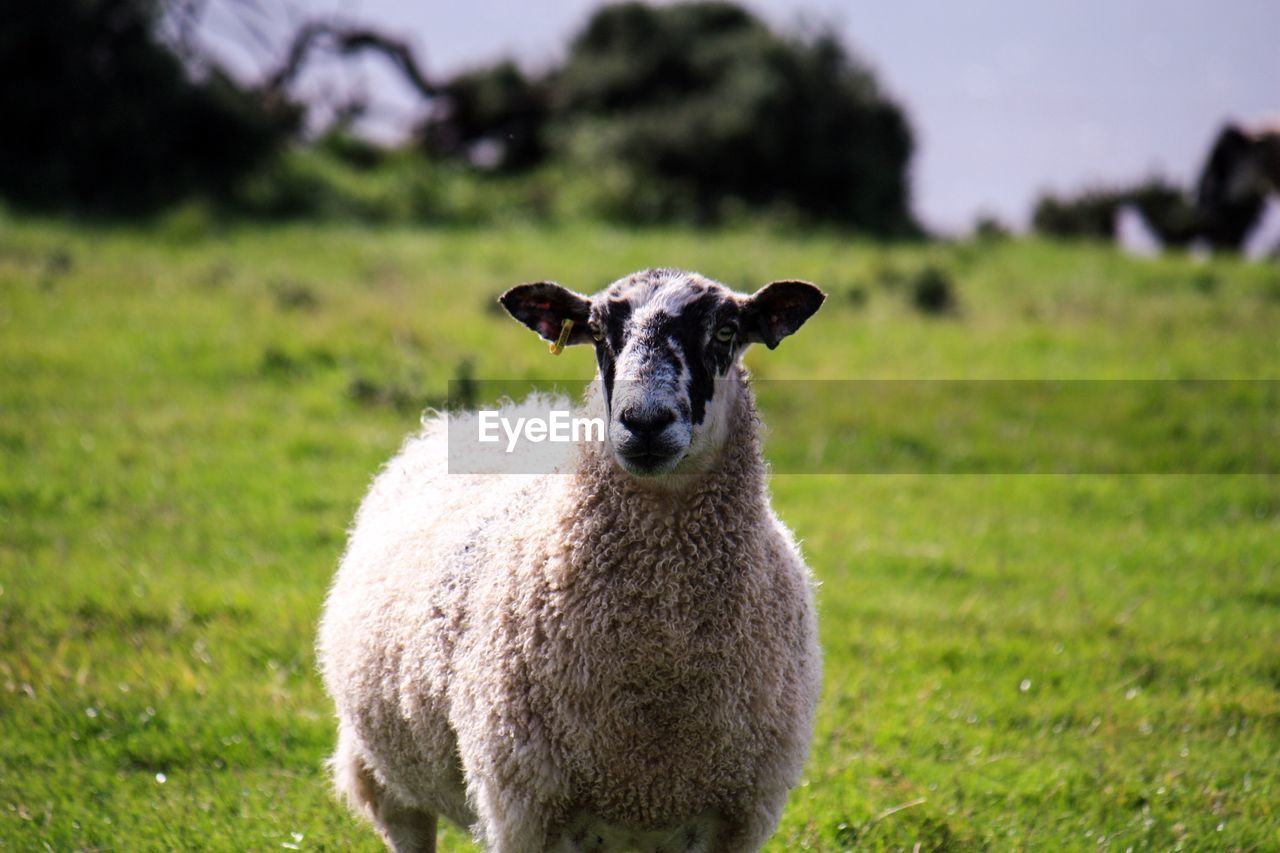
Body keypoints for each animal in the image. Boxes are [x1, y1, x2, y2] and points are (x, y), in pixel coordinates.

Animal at [314, 267, 824, 850]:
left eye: (725, 331)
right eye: (599, 333)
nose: (644, 422)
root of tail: (501, 410)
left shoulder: (741, 817)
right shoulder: (525, 806)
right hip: (385, 773)